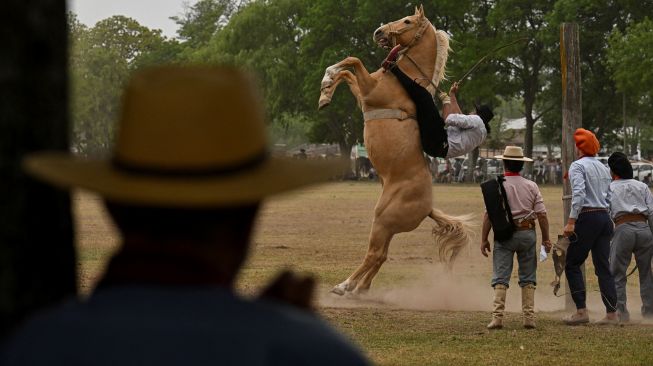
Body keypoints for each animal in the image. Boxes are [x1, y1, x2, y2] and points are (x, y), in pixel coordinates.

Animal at [318, 5, 466, 296]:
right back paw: (361, 288)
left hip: (382, 220)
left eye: (407, 21)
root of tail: (428, 208)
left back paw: (345, 285)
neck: (405, 79)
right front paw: (325, 92)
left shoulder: (370, 90)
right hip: (387, 226)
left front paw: (326, 81)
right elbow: (347, 73)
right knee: (381, 255)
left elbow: (352, 62)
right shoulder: (362, 93)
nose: (378, 32)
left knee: (374, 254)